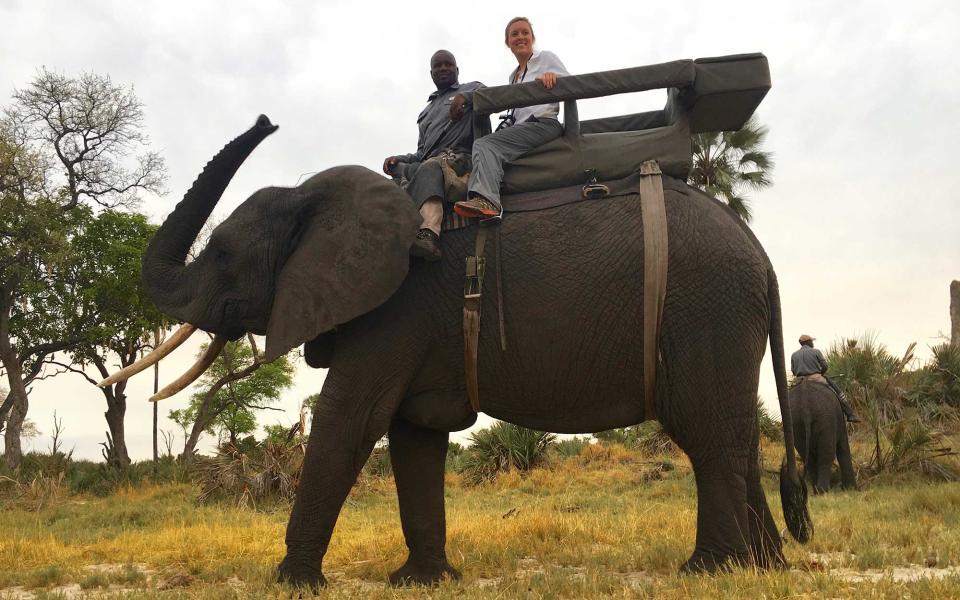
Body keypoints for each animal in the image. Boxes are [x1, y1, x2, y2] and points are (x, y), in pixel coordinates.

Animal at [135, 115, 808, 588]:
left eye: (223, 252)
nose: (267, 120)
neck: (313, 198)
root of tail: (760, 251)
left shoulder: (396, 305)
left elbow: (348, 422)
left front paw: (294, 583)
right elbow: (414, 435)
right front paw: (420, 581)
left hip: (704, 307)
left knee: (708, 434)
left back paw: (708, 570)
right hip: (721, 316)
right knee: (737, 435)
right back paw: (766, 567)